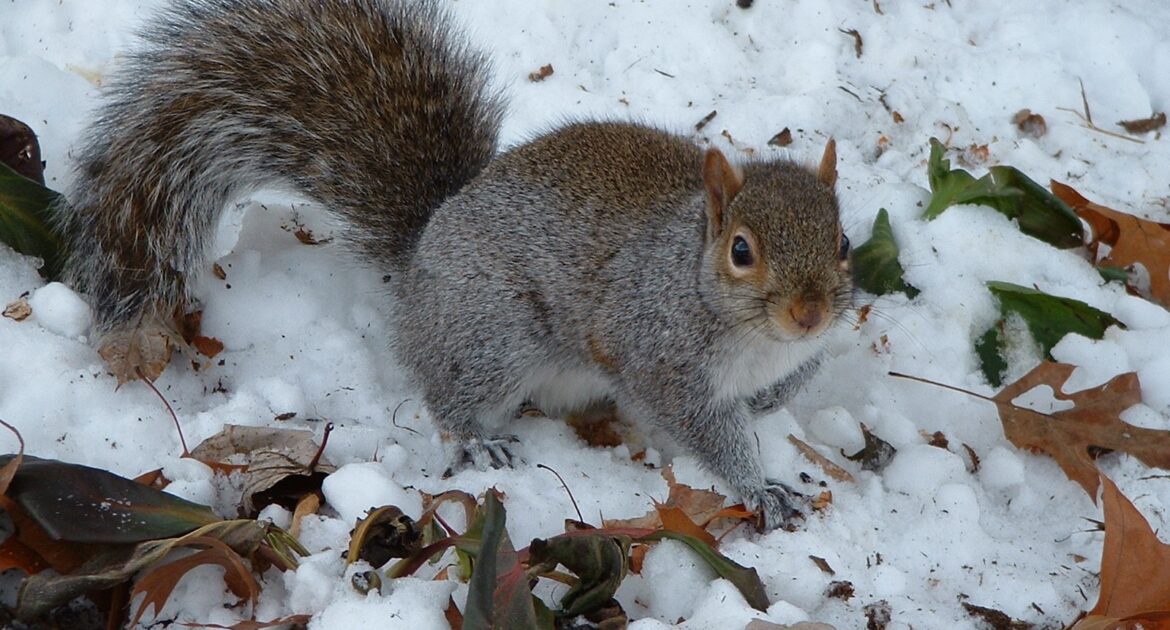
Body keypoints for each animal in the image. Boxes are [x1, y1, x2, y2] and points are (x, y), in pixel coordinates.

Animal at [54, 0, 856, 529]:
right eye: (741, 250)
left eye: (844, 241)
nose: (811, 313)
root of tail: (422, 254)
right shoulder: (660, 353)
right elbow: (705, 427)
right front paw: (758, 485)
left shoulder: (803, 354)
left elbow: (788, 384)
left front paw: (768, 408)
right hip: (496, 333)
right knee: (449, 390)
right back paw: (477, 437)